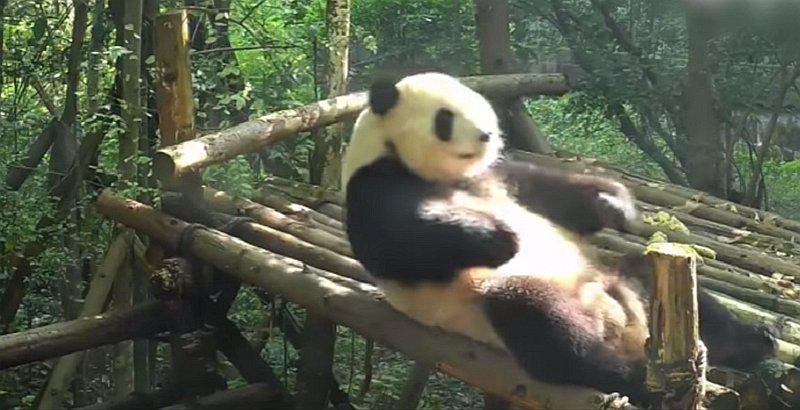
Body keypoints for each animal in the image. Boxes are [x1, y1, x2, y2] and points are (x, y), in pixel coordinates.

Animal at [341, 72, 775, 403]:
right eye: (445, 118)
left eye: (481, 106)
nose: (486, 135)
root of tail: (625, 327)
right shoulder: (375, 184)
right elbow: (400, 242)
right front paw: (498, 237)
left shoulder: (497, 176)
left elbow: (549, 194)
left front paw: (614, 205)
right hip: (494, 301)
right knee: (548, 329)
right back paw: (635, 377)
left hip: (622, 281)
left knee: (660, 280)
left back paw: (753, 341)